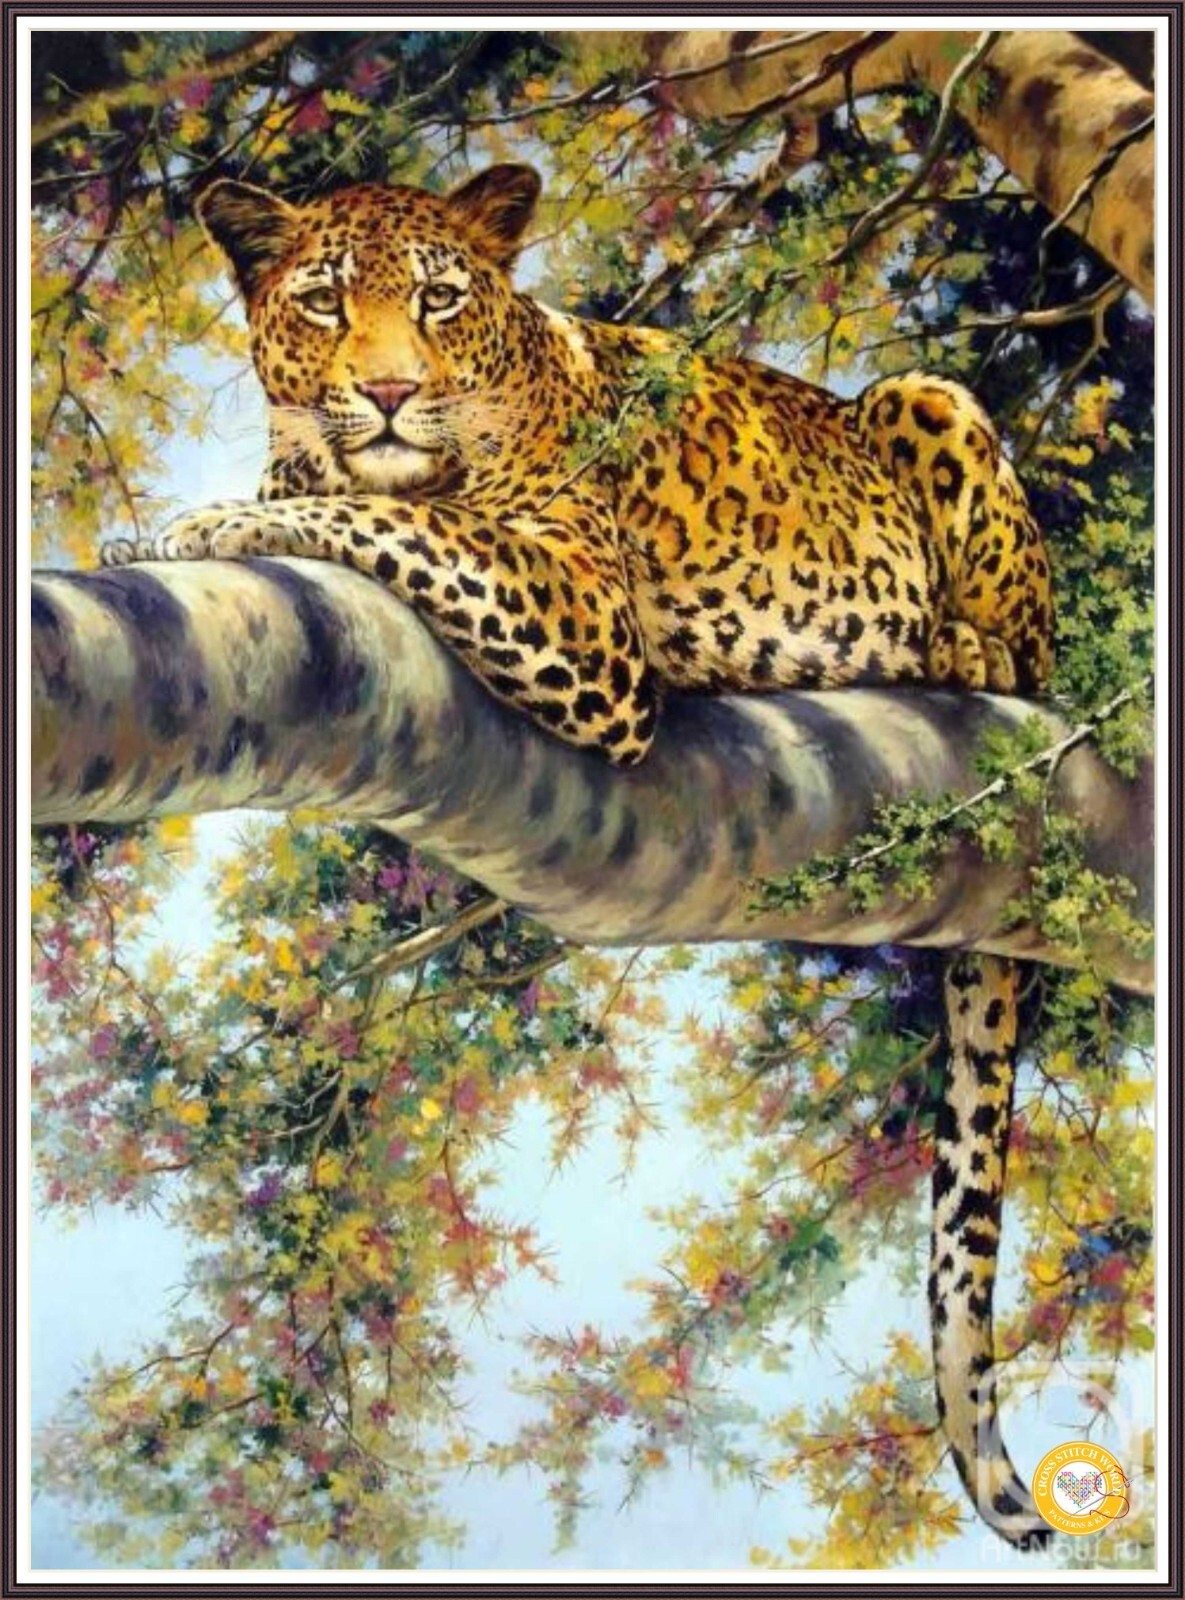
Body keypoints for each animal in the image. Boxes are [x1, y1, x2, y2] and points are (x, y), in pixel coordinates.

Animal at [102, 163, 1056, 1548]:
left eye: (440, 300)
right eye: (325, 302)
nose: (389, 393)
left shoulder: (574, 607)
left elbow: (365, 511)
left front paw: (187, 525)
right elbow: (347, 497)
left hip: (934, 404)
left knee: (1002, 632)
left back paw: (959, 645)